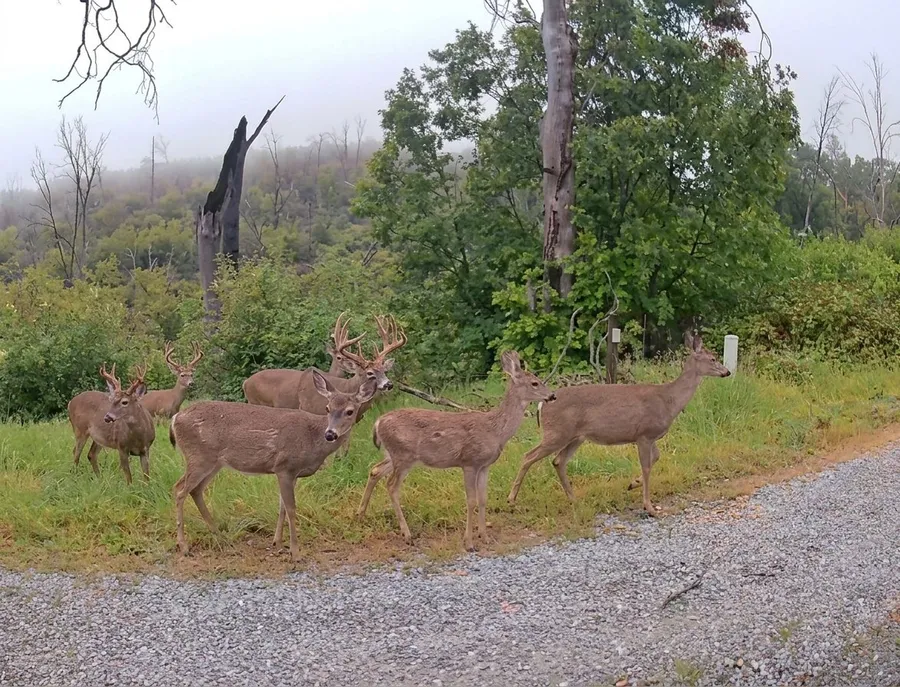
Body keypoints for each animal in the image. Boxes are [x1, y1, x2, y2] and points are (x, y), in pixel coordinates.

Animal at [170, 370, 377, 562]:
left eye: (350, 411)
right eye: (327, 408)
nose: (330, 434)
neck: (312, 439)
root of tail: (175, 418)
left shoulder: (293, 473)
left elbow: (282, 506)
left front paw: (277, 542)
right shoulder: (284, 467)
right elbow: (291, 508)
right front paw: (295, 553)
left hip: (213, 462)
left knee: (195, 490)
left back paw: (219, 535)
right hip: (198, 457)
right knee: (179, 489)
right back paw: (184, 546)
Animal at [357, 350, 556, 551]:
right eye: (535, 383)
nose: (552, 395)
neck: (496, 430)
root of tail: (378, 422)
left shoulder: (484, 466)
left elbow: (483, 499)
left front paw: (485, 537)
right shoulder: (469, 462)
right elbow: (471, 500)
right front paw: (469, 543)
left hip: (393, 455)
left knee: (375, 470)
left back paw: (361, 515)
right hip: (403, 455)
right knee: (391, 485)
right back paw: (407, 534)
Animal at [506, 331, 731, 516]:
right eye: (713, 358)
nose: (727, 372)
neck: (669, 400)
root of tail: (542, 404)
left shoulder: (650, 436)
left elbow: (656, 458)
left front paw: (633, 484)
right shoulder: (644, 434)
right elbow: (647, 466)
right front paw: (649, 507)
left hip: (575, 437)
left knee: (558, 461)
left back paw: (574, 499)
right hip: (557, 432)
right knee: (528, 456)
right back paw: (511, 499)